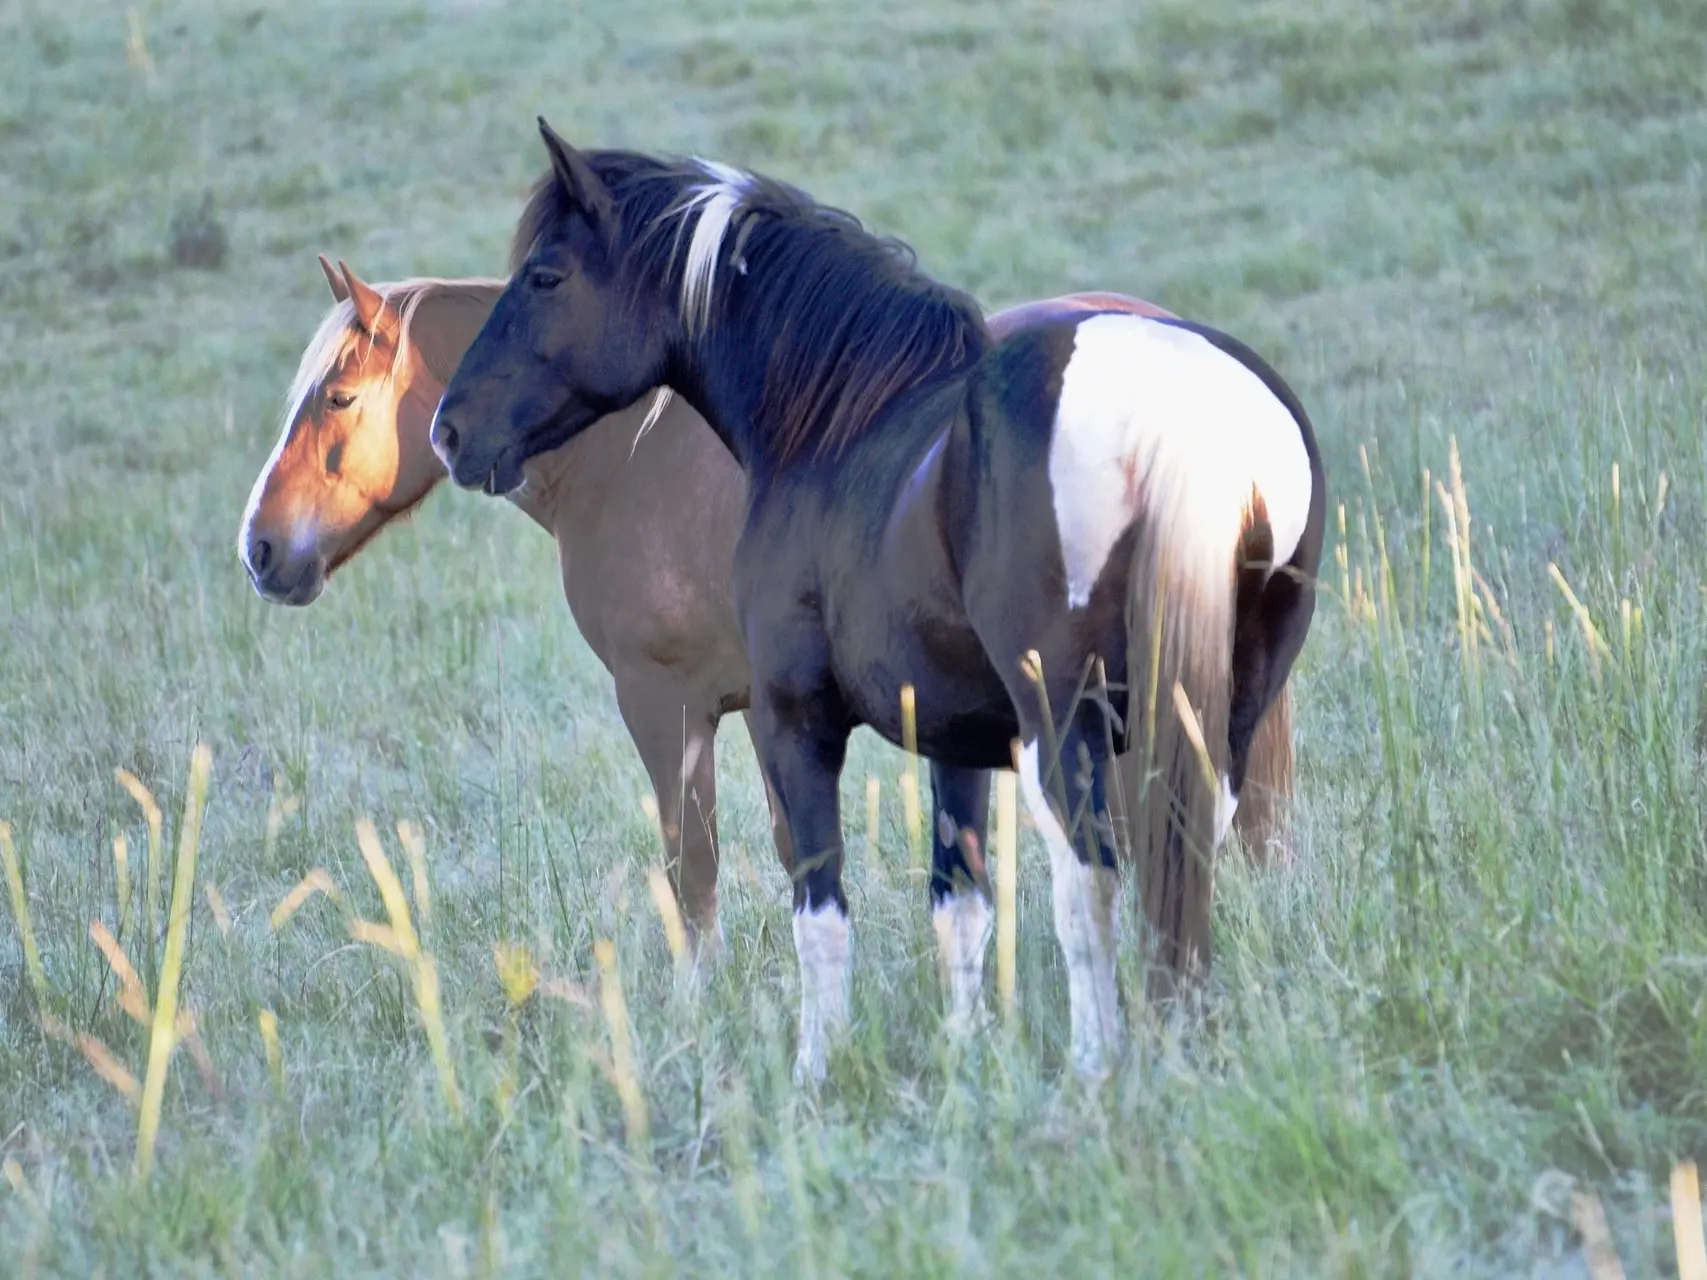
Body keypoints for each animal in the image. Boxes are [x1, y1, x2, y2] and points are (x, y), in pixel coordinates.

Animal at [433, 125, 1324, 1085]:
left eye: (545, 276)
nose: (450, 431)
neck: (837, 428)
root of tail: (1181, 403)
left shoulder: (794, 723)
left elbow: (819, 908)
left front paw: (815, 1071)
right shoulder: (959, 738)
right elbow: (959, 903)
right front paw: (965, 1057)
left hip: (1064, 723)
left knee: (1089, 877)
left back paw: (1096, 1066)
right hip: (1220, 716)